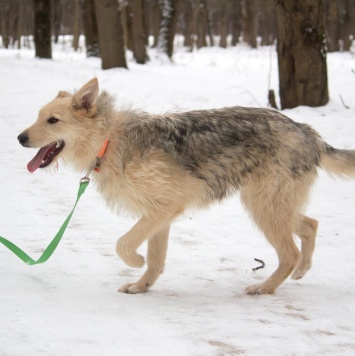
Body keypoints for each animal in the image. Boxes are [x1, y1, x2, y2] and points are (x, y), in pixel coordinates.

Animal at [18, 78, 355, 294]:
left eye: (52, 120)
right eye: (37, 116)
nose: (20, 137)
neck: (109, 141)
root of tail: (308, 131)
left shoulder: (164, 209)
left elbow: (124, 243)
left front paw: (135, 262)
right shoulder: (159, 214)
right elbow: (155, 260)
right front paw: (141, 286)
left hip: (263, 207)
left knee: (290, 253)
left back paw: (265, 287)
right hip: (271, 205)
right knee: (311, 225)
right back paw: (301, 271)